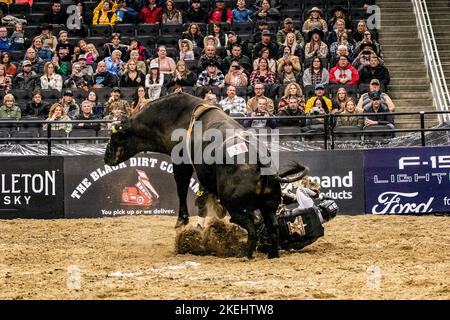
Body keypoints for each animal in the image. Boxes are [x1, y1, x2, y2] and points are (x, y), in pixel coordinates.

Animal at [103, 94, 308, 258]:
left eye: (114, 137)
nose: (106, 157)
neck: (174, 117)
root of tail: (261, 163)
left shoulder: (181, 163)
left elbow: (181, 189)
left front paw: (181, 221)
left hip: (236, 206)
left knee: (252, 226)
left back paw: (246, 253)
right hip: (269, 206)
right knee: (271, 226)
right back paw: (272, 253)